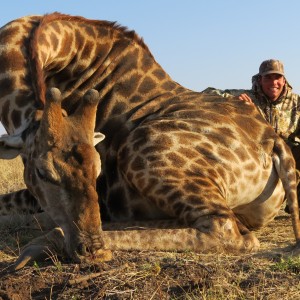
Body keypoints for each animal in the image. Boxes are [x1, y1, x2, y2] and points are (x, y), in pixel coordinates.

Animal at [0, 12, 298, 270]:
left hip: (139, 151)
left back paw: (49, 241)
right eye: (43, 172)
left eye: (98, 168)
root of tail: (273, 143)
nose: (91, 249)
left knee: (227, 232)